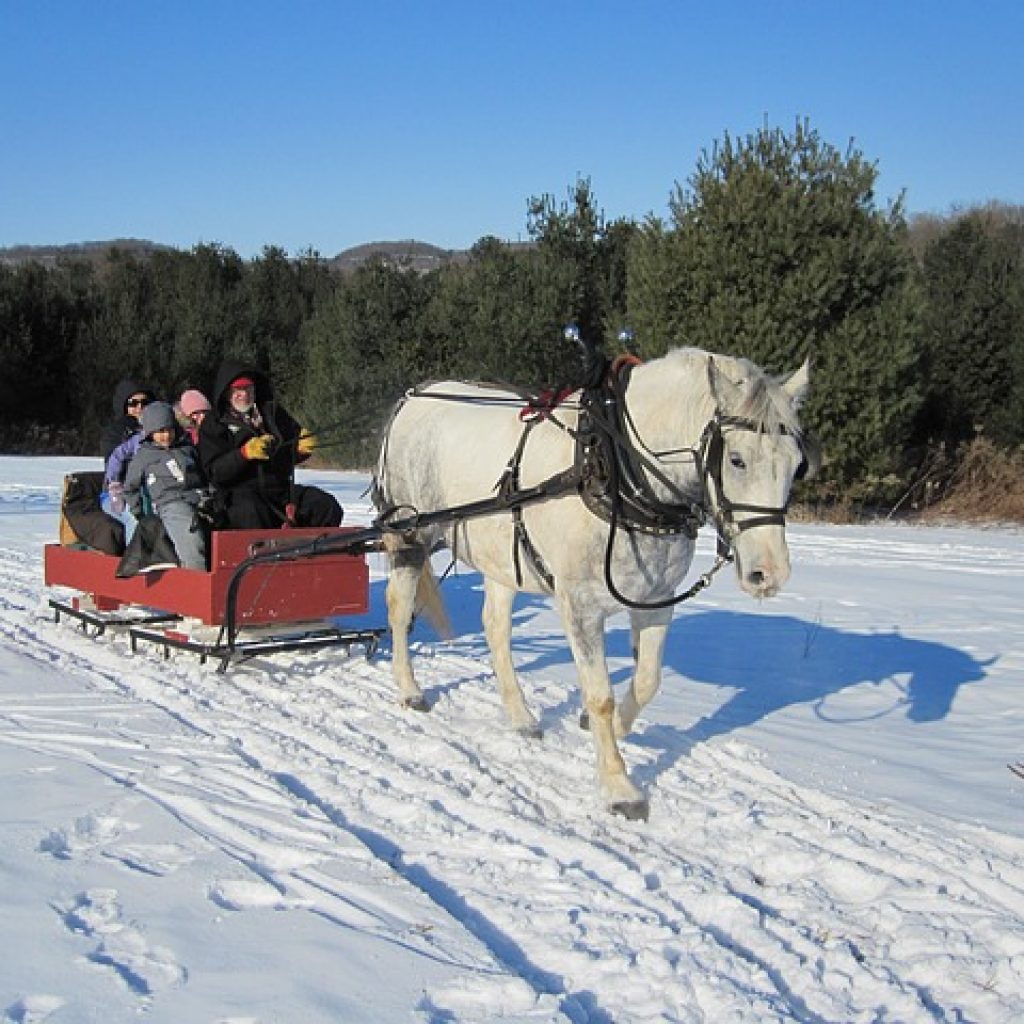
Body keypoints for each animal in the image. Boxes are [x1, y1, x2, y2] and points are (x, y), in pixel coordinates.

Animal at [372, 348, 811, 819]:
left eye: (796, 465)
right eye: (737, 459)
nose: (769, 573)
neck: (618, 472)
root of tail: (412, 396)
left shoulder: (657, 600)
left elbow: (647, 680)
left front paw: (612, 727)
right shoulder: (580, 604)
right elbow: (600, 694)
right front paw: (620, 788)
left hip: (502, 557)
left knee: (496, 628)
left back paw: (521, 715)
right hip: (411, 535)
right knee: (398, 607)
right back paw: (410, 689)